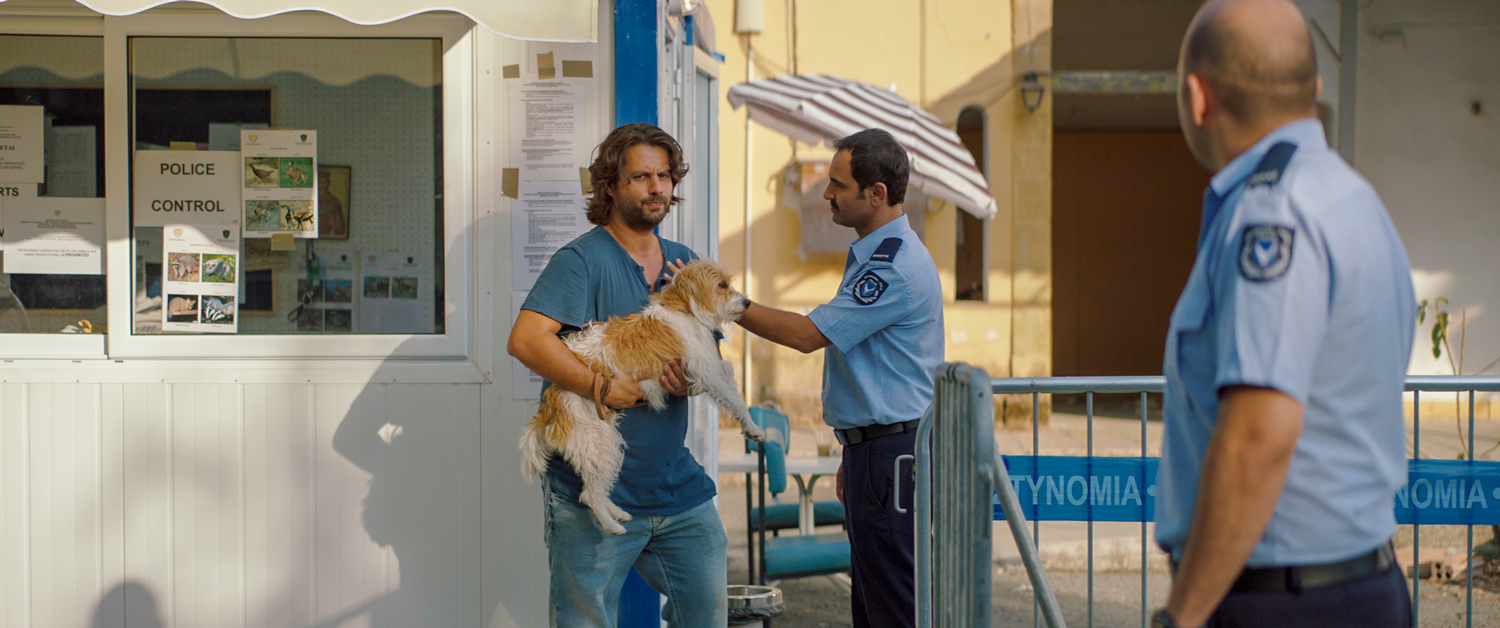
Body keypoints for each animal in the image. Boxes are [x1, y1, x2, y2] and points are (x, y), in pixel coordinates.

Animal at [525, 260, 762, 536]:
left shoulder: (706, 364)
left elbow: (728, 370)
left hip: (606, 440)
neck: (685, 310)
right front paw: (752, 426)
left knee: (598, 487)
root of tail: (547, 410)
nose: (748, 302)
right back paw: (612, 526)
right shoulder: (704, 369)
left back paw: (618, 512)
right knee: (589, 495)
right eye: (722, 285)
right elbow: (734, 399)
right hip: (597, 440)